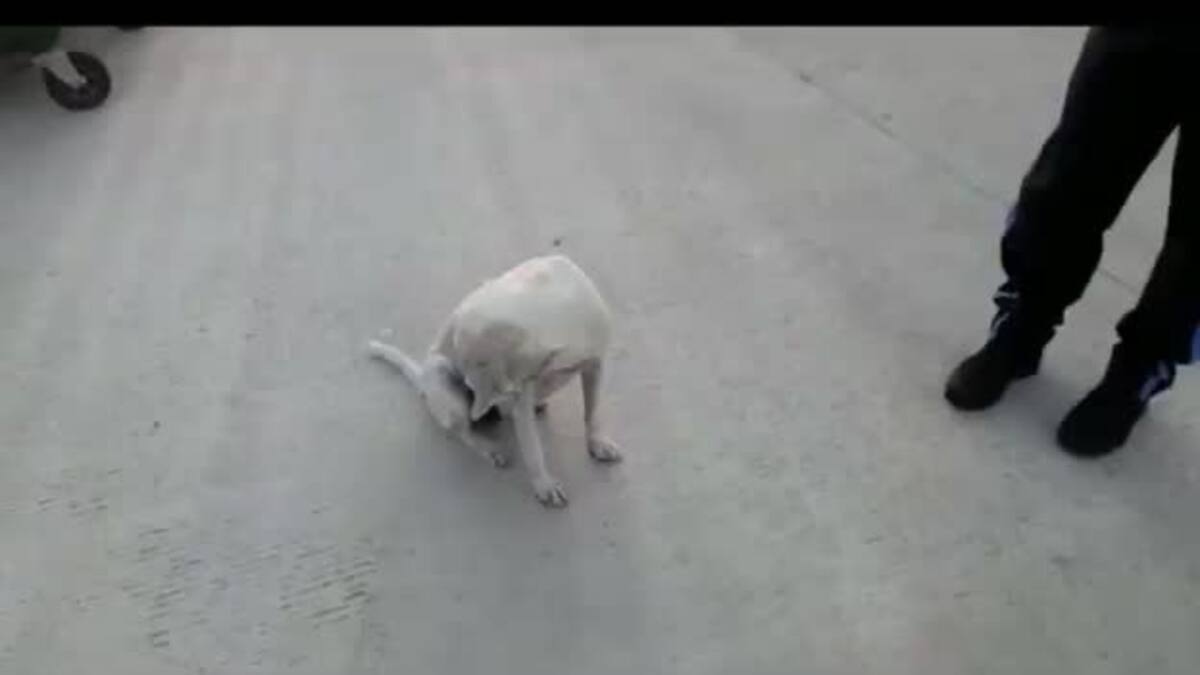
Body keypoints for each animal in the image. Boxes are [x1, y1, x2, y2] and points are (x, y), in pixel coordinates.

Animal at [367, 255, 621, 507]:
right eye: (470, 381)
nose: (471, 395)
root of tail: (421, 379)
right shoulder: (520, 393)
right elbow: (533, 449)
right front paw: (544, 485)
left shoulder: (594, 365)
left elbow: (593, 412)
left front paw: (597, 442)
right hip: (445, 385)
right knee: (463, 433)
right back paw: (488, 447)